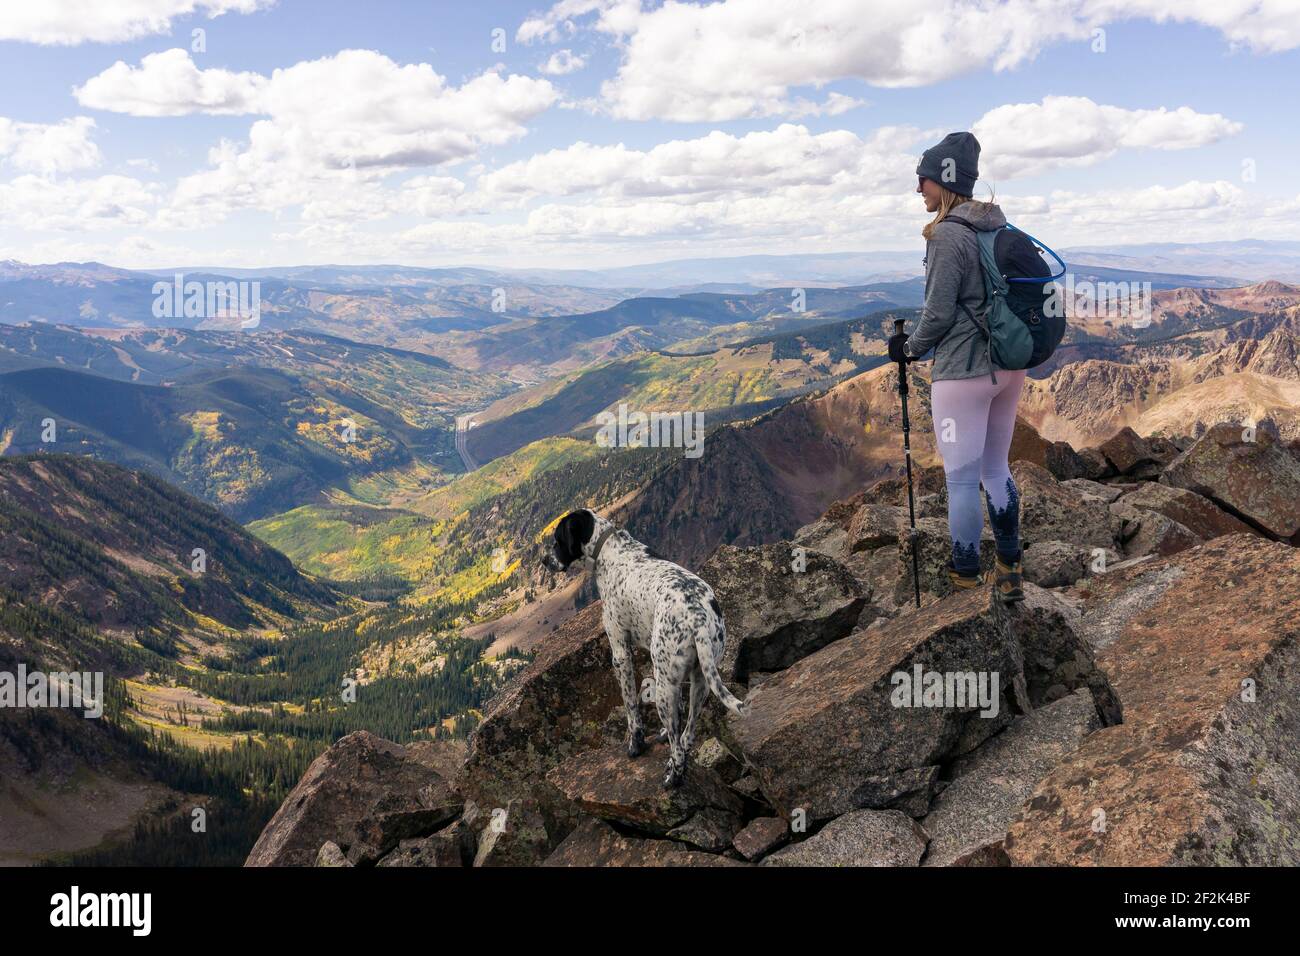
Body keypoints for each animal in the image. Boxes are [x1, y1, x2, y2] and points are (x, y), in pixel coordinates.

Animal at [540, 512, 754, 790]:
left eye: (557, 540)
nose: (544, 560)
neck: (609, 547)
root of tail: (696, 615)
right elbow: (680, 714)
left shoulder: (620, 652)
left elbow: (631, 707)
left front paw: (636, 743)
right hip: (700, 680)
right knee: (687, 733)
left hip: (662, 686)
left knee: (678, 746)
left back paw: (673, 778)